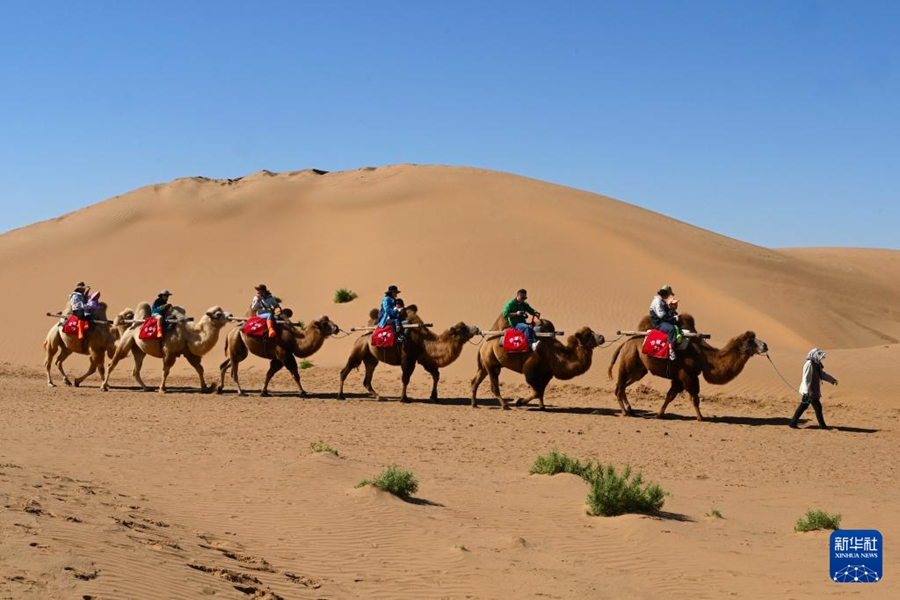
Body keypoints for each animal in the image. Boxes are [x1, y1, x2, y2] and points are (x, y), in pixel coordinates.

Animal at [100, 300, 232, 394]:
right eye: (218, 314)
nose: (230, 314)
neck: (190, 333)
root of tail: (133, 324)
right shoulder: (169, 352)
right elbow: (166, 371)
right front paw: (162, 389)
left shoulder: (188, 352)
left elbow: (199, 368)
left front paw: (206, 387)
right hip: (126, 342)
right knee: (112, 363)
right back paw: (104, 387)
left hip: (138, 350)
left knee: (136, 370)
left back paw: (146, 388)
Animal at [338, 304, 482, 404]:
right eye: (462, 329)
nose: (476, 328)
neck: (425, 342)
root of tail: (362, 336)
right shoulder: (408, 358)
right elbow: (406, 378)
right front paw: (404, 398)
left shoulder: (425, 359)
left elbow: (436, 375)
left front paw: (434, 397)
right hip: (358, 350)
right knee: (345, 371)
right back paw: (341, 396)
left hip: (370, 357)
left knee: (367, 378)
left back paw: (379, 396)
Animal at [472, 318, 604, 412]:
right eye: (587, 335)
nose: (602, 337)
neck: (554, 353)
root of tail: (484, 344)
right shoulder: (531, 370)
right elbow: (536, 391)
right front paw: (519, 401)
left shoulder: (547, 374)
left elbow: (541, 391)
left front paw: (542, 407)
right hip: (491, 363)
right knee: (494, 385)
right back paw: (505, 406)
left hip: (486, 364)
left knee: (475, 381)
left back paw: (474, 404)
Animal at [604, 314, 768, 422]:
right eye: (750, 341)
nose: (765, 345)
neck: (705, 357)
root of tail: (625, 343)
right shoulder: (688, 375)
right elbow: (694, 398)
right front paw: (700, 417)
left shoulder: (678, 378)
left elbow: (670, 395)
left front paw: (659, 414)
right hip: (628, 361)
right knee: (619, 387)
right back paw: (624, 412)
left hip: (639, 369)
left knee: (624, 386)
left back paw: (631, 410)